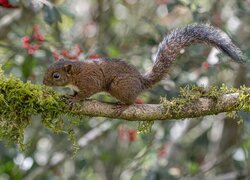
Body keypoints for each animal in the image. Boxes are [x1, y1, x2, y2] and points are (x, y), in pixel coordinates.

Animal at [43, 24, 246, 105]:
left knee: (131, 101)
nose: (44, 83)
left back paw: (122, 105)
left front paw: (75, 99)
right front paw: (69, 95)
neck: (75, 73)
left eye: (56, 76)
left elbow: (86, 92)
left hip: (119, 86)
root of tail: (141, 82)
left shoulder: (89, 80)